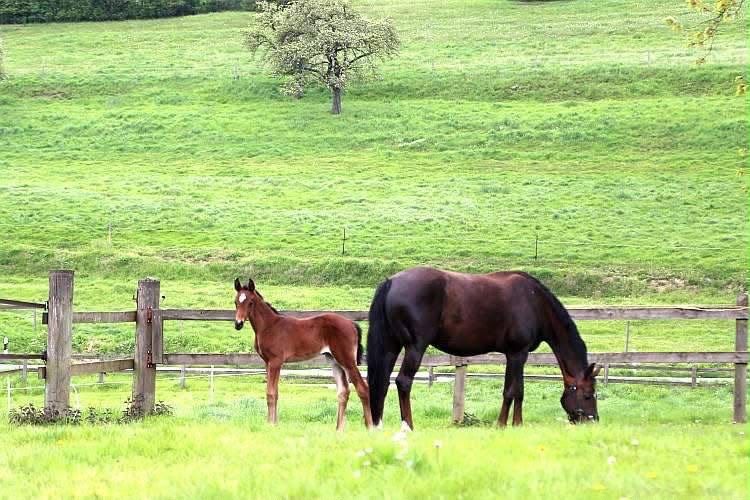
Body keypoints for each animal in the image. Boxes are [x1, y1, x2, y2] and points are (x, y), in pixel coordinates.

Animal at [233, 278, 373, 430]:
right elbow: (274, 392)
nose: (238, 324)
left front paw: (271, 425)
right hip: (334, 360)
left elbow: (271, 393)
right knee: (343, 392)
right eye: (235, 302)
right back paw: (339, 429)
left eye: (250, 302)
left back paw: (371, 427)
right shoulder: (267, 363)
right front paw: (274, 423)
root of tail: (351, 323)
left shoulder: (276, 362)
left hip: (346, 360)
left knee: (363, 388)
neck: (269, 326)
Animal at [366, 267, 600, 429]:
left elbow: (518, 390)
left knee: (382, 382)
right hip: (415, 347)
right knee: (403, 382)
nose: (594, 420)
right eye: (589, 395)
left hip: (391, 346)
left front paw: (515, 424)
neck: (534, 302)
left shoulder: (516, 355)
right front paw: (505, 424)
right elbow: (512, 390)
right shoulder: (517, 354)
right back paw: (408, 426)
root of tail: (391, 282)